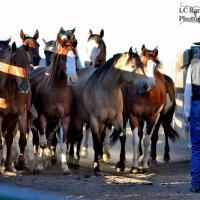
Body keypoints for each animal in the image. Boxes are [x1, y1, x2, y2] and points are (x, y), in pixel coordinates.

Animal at [29, 34, 78, 173]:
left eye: (76, 57)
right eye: (63, 57)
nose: (73, 79)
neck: (57, 91)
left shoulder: (65, 119)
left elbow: (62, 144)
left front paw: (65, 168)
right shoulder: (42, 117)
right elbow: (42, 142)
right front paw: (39, 166)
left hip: (53, 123)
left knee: (49, 138)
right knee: (37, 141)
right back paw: (36, 162)